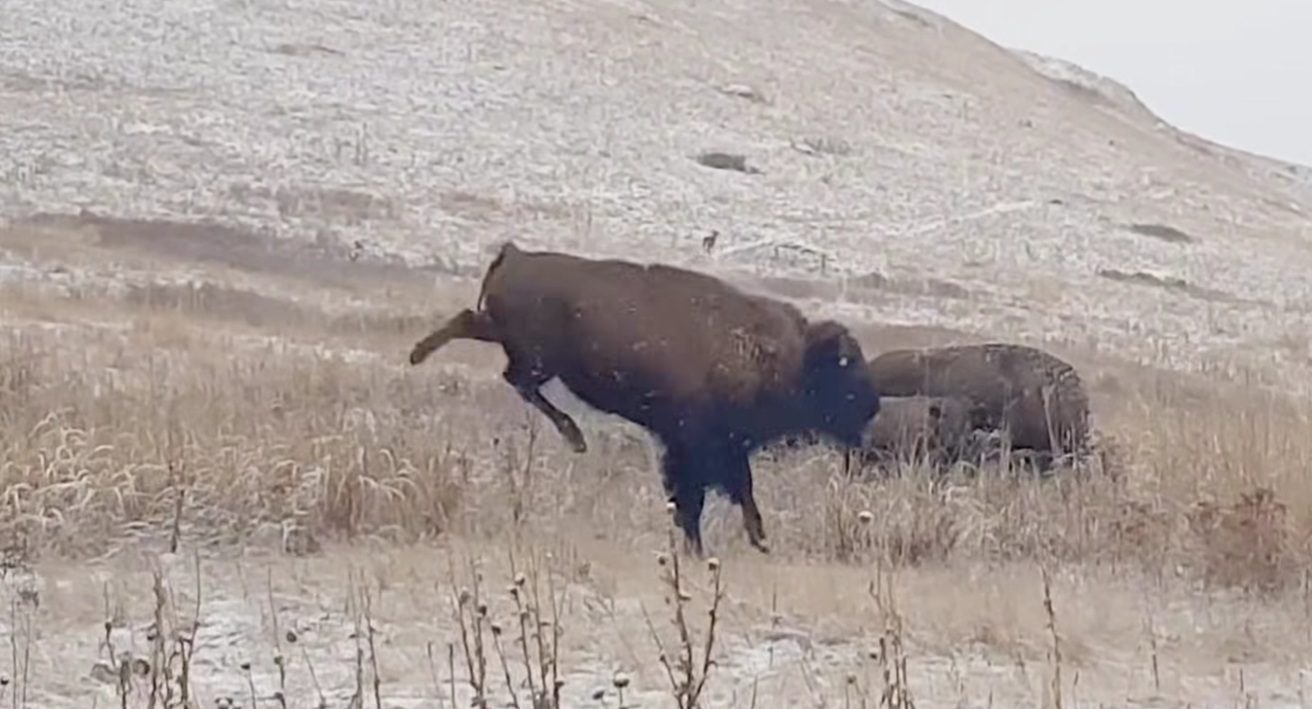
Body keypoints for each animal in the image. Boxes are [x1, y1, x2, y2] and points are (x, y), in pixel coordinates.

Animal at [408, 242, 882, 555]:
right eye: (845, 367)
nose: (871, 406)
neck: (782, 354)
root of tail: (516, 254)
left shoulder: (699, 447)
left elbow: (714, 495)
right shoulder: (701, 444)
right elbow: (712, 494)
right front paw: (739, 542)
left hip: (508, 338)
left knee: (475, 332)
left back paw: (417, 355)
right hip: (537, 357)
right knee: (516, 378)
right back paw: (574, 436)